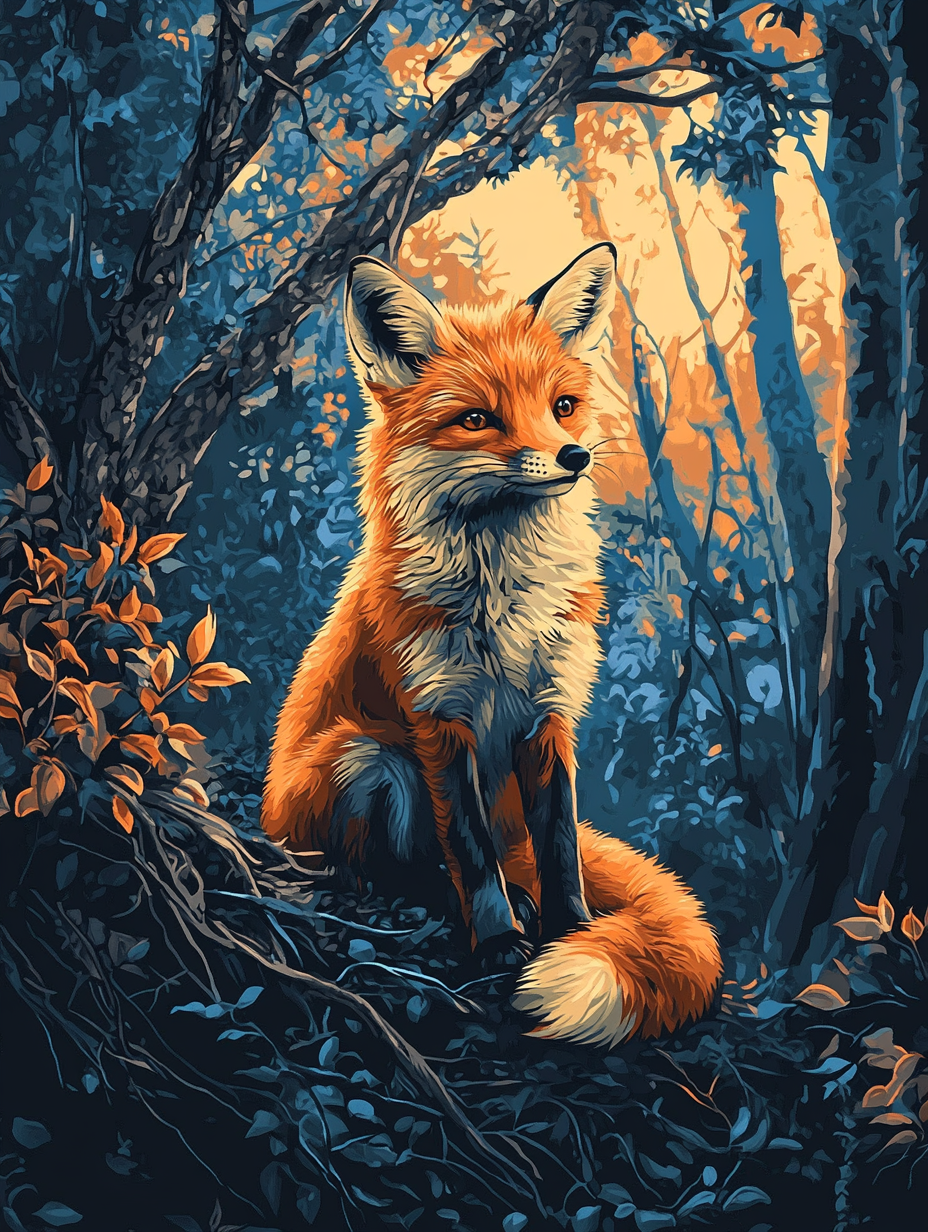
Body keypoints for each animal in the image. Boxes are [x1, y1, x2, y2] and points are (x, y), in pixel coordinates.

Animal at [261, 243, 722, 1048]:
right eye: (478, 419)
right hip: (364, 758)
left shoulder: (550, 714)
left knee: (519, 859)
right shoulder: (438, 719)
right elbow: (469, 853)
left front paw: (573, 932)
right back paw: (422, 903)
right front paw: (500, 941)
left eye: (562, 406)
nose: (573, 456)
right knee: (405, 866)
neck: (504, 604)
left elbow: (563, 846)